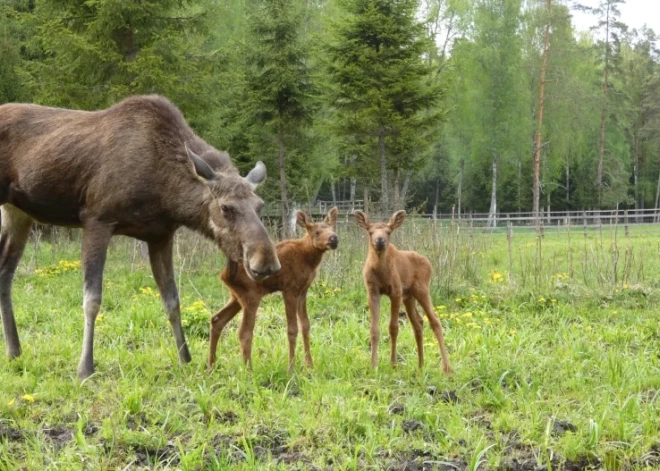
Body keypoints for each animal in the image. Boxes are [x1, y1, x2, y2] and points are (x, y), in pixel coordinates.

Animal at [0, 95, 282, 380]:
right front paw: (85, 367)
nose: (266, 262)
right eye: (226, 207)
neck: (167, 194)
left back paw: (14, 350)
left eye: (260, 205)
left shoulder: (160, 235)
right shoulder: (96, 220)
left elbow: (172, 301)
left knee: (5, 273)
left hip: (18, 213)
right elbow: (92, 299)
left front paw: (186, 359)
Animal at [208, 208, 340, 374]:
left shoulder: (303, 290)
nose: (334, 239)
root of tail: (224, 275)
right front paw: (291, 369)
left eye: (332, 228)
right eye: (316, 232)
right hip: (251, 296)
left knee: (216, 319)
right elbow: (292, 329)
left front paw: (309, 366)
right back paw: (249, 371)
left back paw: (210, 366)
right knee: (244, 332)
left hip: (236, 297)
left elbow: (305, 325)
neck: (309, 259)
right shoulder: (289, 289)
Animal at [356, 210, 454, 376]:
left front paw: (393, 363)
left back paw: (446, 368)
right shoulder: (372, 291)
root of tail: (429, 263)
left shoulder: (396, 292)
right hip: (409, 296)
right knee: (418, 323)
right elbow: (374, 329)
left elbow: (393, 327)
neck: (380, 270)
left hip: (421, 289)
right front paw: (373, 365)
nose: (380, 240)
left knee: (435, 321)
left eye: (388, 232)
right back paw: (421, 364)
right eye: (370, 232)